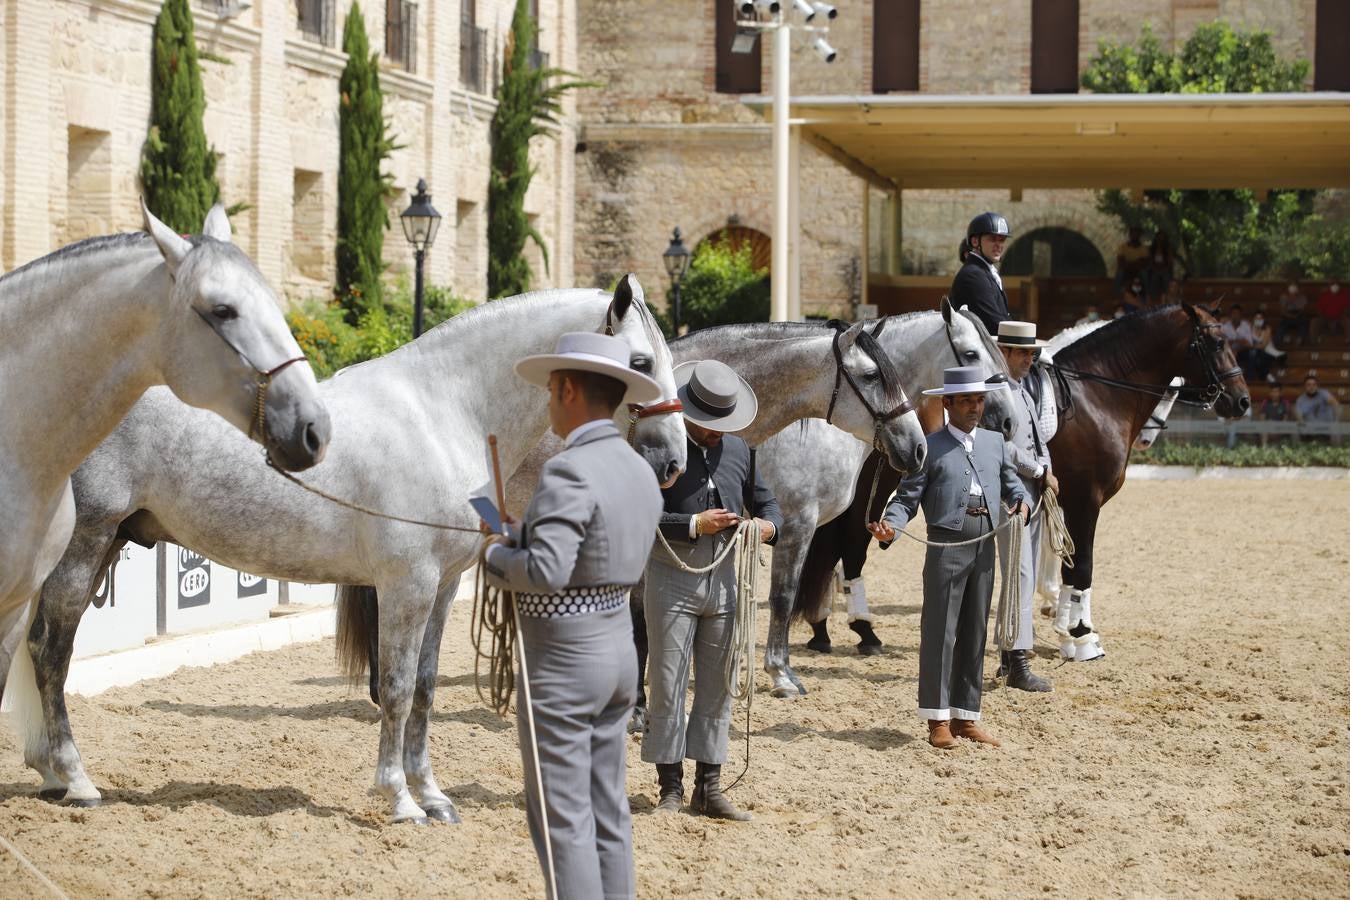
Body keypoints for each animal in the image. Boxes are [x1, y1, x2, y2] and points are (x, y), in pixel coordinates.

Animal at [11, 275, 685, 825]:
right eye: (641, 360)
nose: (674, 461)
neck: (444, 411)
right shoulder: (406, 583)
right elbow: (395, 685)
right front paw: (400, 799)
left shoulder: (443, 586)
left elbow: (426, 687)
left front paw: (434, 795)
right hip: (88, 538)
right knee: (51, 650)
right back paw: (77, 780)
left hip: (106, 541)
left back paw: (49, 773)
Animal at [793, 306, 1247, 666]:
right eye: (1216, 342)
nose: (1240, 402)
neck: (1094, 395)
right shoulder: (1085, 501)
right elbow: (1081, 565)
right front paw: (1080, 635)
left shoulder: (1056, 498)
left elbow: (1058, 557)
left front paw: (1061, 617)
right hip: (877, 484)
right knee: (849, 546)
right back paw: (861, 629)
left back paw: (828, 628)